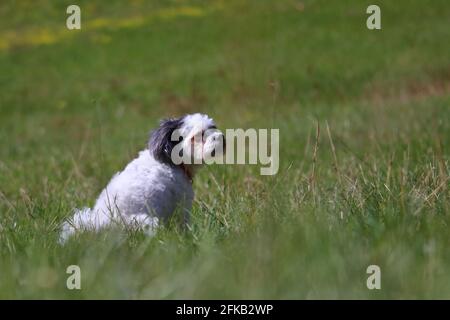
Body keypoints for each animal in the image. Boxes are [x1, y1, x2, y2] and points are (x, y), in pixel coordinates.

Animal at [60, 114, 225, 241]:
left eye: (212, 127)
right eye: (198, 136)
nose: (221, 137)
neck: (171, 162)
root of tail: (96, 225)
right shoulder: (182, 204)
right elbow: (183, 224)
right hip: (144, 222)